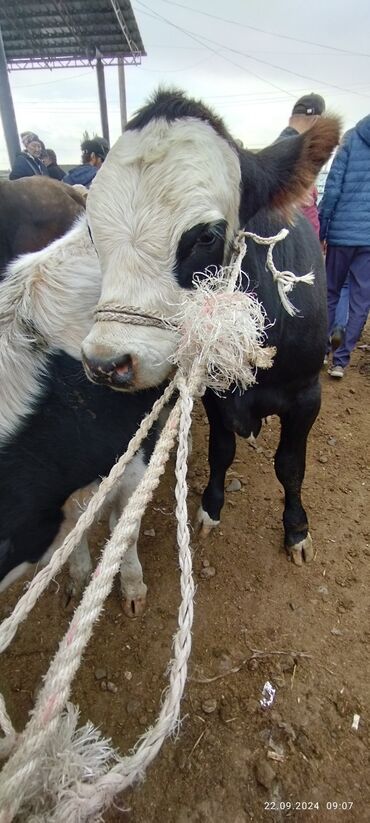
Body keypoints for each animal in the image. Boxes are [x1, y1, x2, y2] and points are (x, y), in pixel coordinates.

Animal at [81, 88, 342, 568]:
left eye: (205, 237)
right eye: (92, 230)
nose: (107, 363)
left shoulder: (306, 395)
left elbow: (290, 464)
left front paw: (296, 530)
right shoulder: (213, 394)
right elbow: (222, 450)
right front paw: (210, 508)